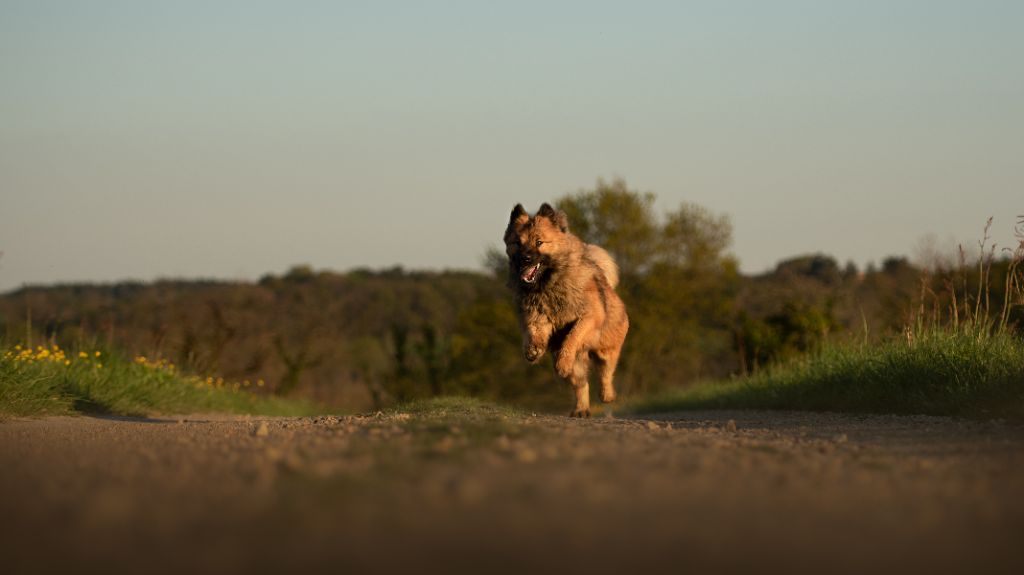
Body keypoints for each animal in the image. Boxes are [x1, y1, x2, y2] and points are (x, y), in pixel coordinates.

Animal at [505, 202, 630, 415]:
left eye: (539, 242)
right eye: (517, 243)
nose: (525, 259)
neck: (550, 284)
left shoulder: (588, 317)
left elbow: (572, 337)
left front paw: (563, 362)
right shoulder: (538, 317)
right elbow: (535, 331)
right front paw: (534, 350)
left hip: (606, 349)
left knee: (605, 373)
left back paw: (607, 395)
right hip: (579, 368)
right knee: (581, 384)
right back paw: (581, 410)